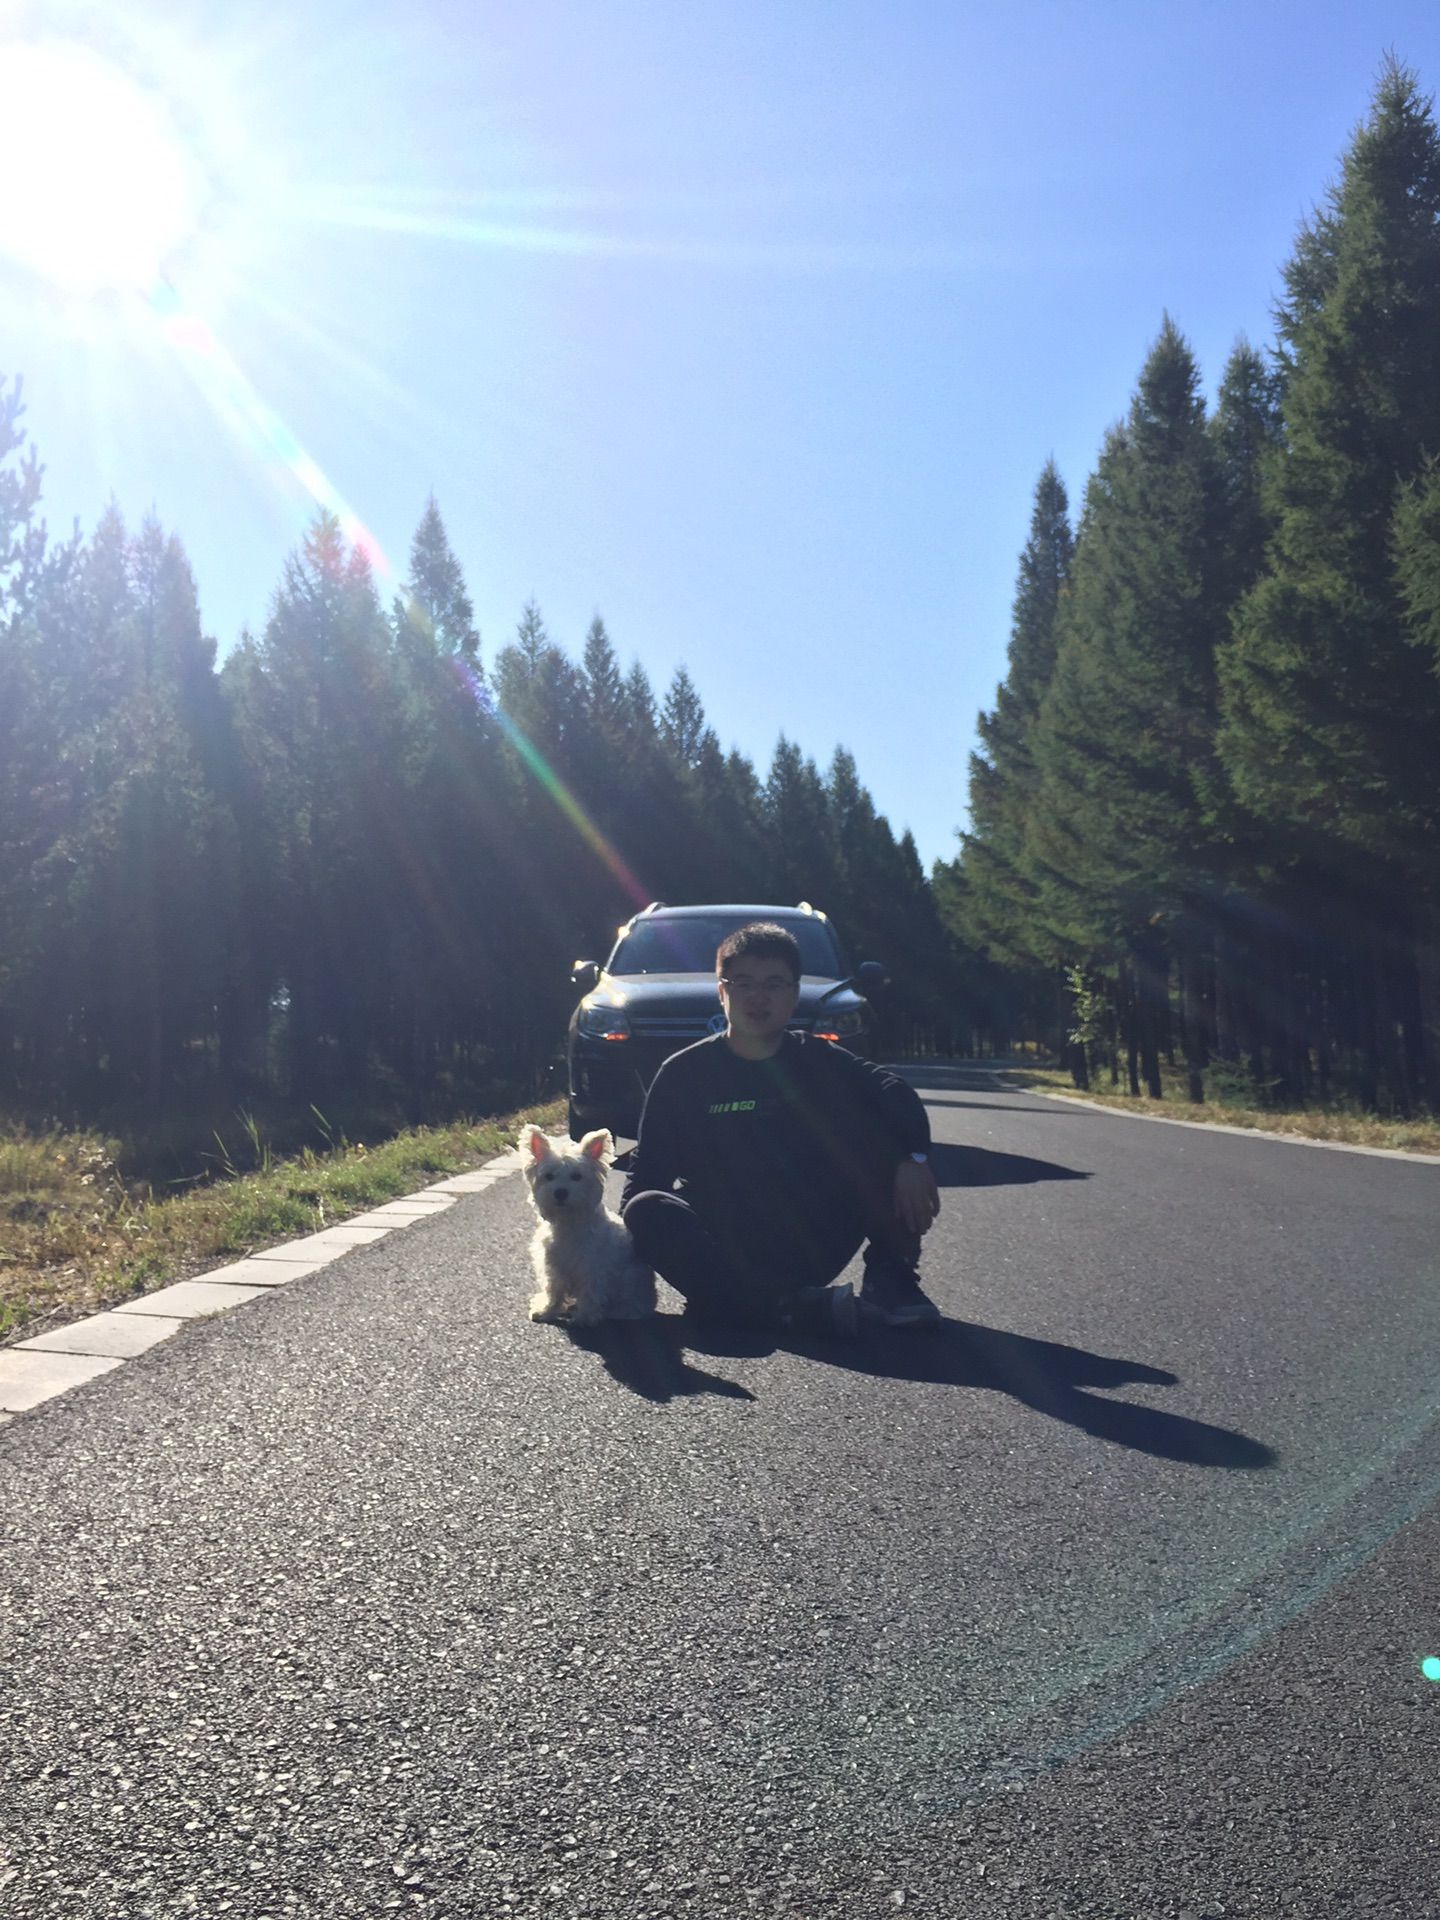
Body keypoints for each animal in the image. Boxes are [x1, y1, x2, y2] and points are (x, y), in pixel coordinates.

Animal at [526, 1121, 660, 1320]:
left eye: (577, 1176)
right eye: (549, 1176)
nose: (560, 1192)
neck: (569, 1221)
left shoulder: (592, 1267)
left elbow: (590, 1291)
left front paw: (585, 1316)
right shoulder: (553, 1266)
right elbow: (553, 1289)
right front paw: (546, 1310)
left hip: (630, 1282)